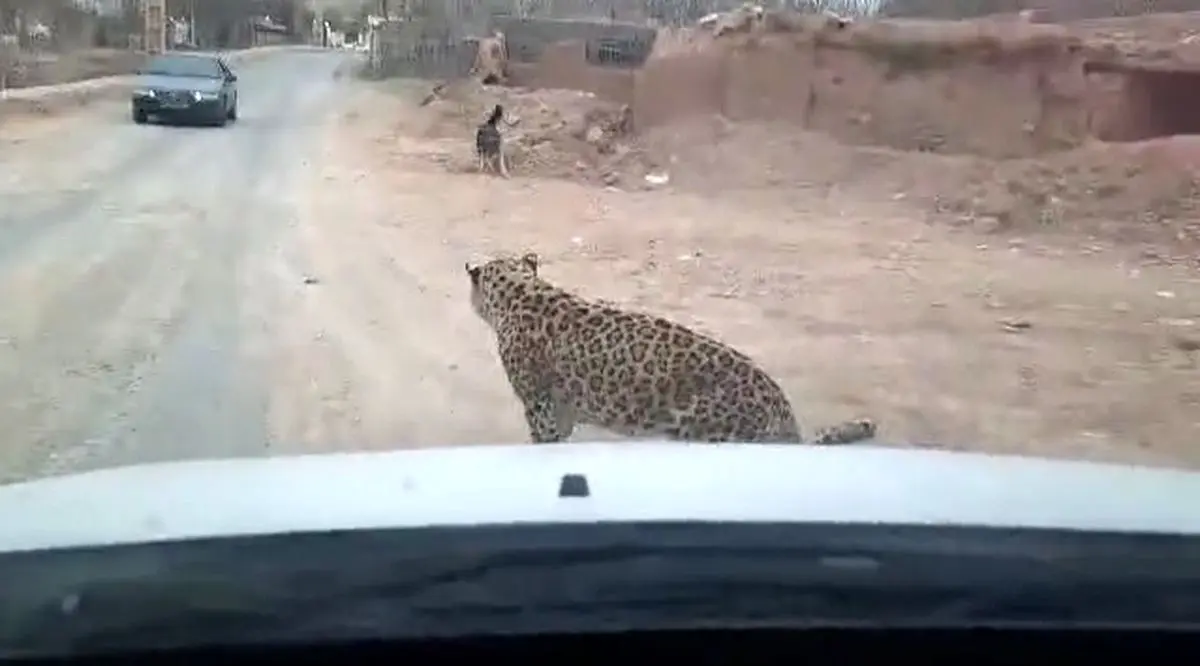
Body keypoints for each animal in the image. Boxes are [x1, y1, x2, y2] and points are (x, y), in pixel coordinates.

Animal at [463, 253, 878, 446]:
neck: (519, 291)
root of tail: (783, 412)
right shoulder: (562, 407)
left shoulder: (540, 404)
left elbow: (544, 439)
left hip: (698, 428)